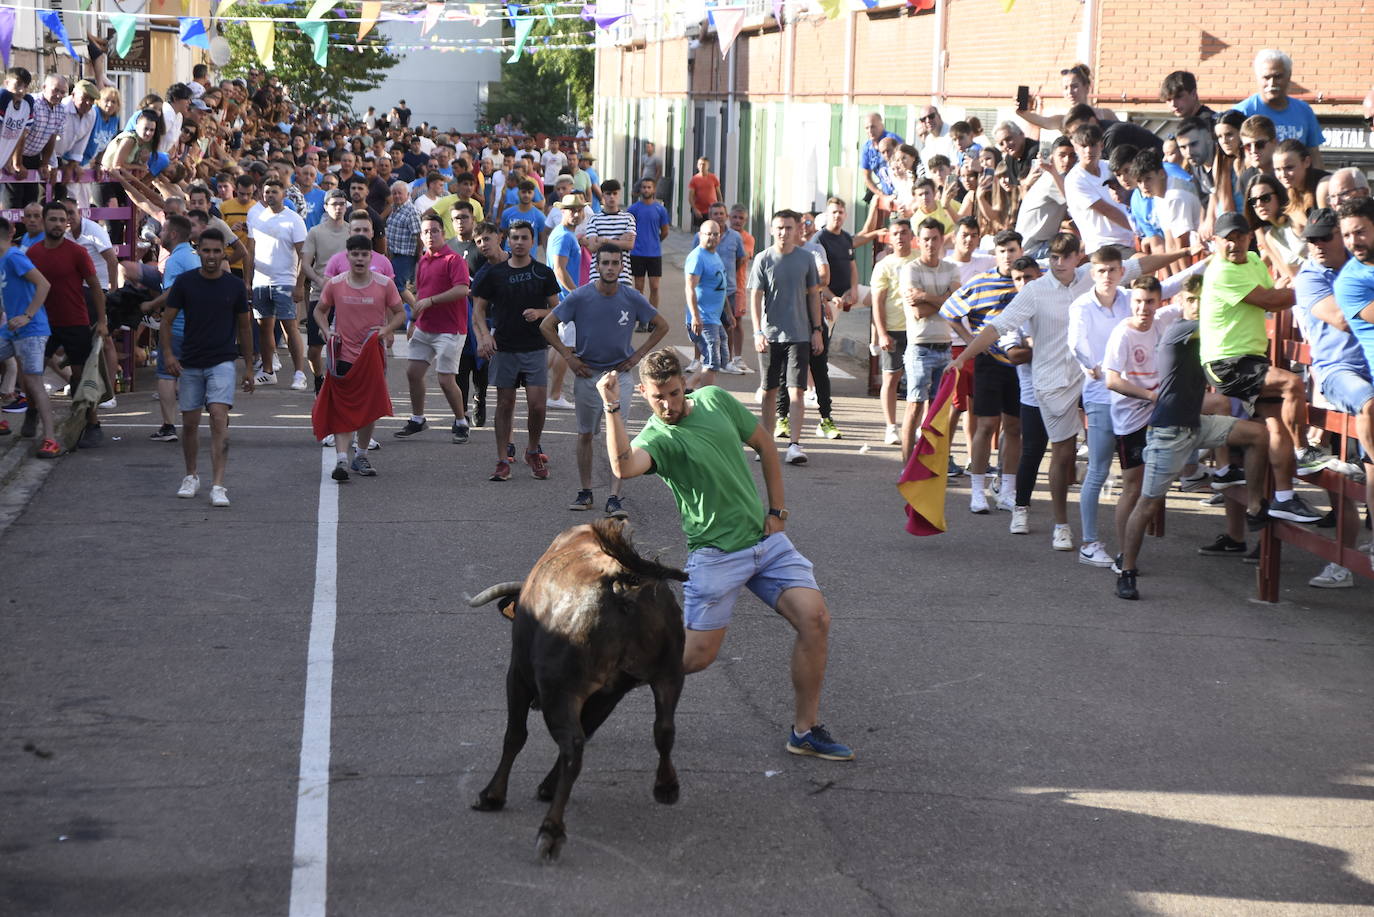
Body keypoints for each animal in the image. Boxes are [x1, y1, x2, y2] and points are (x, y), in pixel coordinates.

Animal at [469, 519, 687, 863]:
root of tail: (620, 583)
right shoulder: (610, 694)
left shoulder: (517, 674)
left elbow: (515, 736)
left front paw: (492, 795)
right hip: (668, 675)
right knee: (663, 729)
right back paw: (666, 786)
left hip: (559, 691)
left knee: (572, 747)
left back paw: (550, 831)